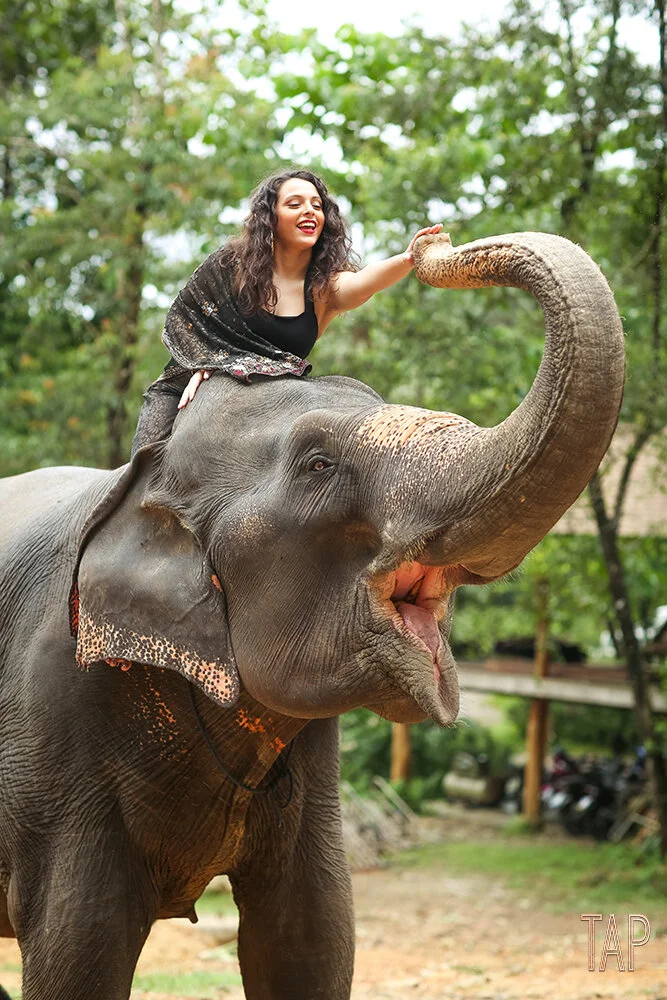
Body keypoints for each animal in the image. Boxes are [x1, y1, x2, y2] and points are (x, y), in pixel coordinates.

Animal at [0, 232, 624, 999]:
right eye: (319, 463)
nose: (440, 243)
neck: (143, 479)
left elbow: (311, 932)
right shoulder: (54, 731)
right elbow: (79, 948)